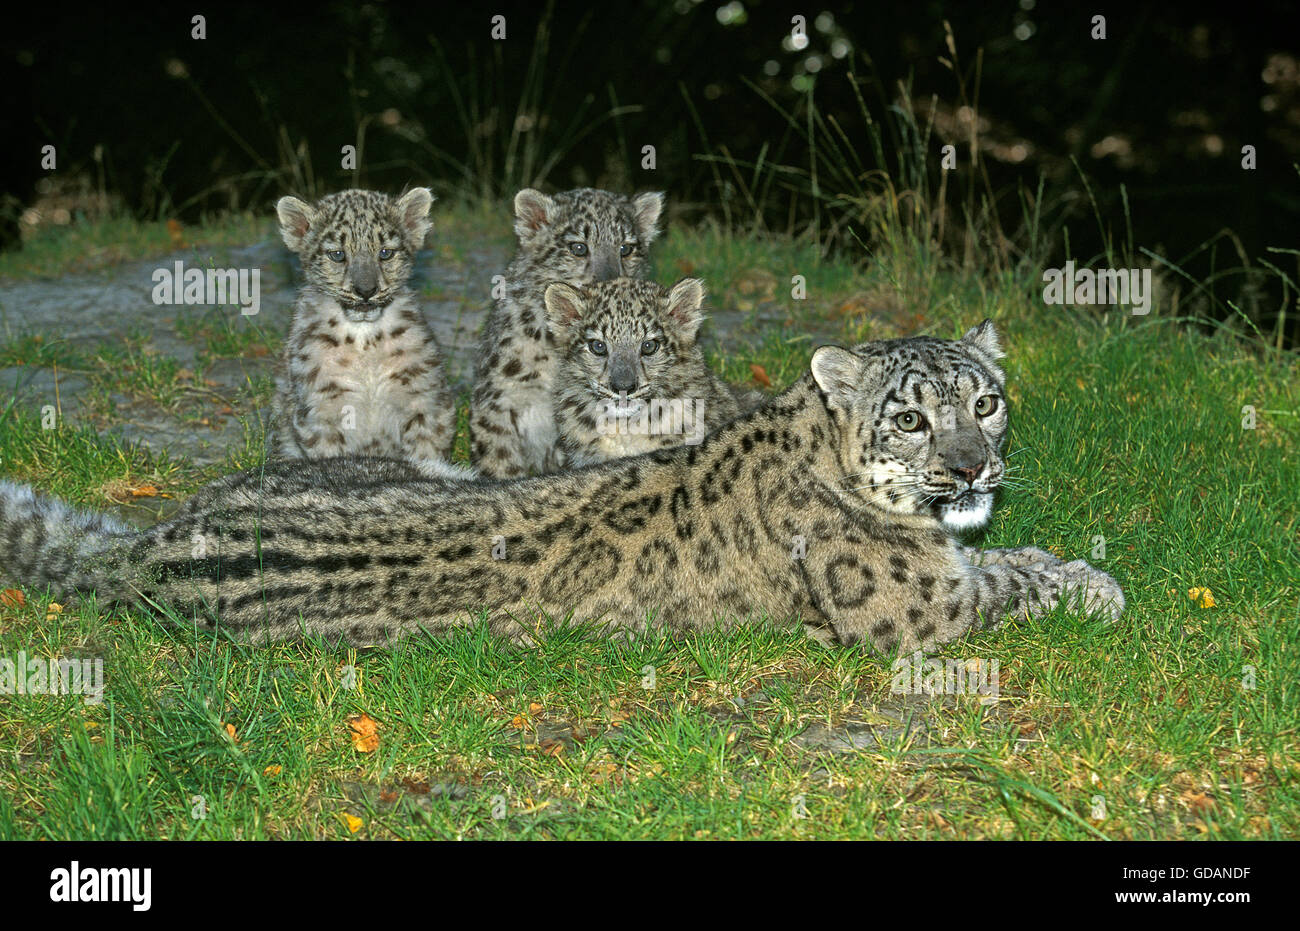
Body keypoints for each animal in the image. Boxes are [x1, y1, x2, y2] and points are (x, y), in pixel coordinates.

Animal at [0, 321, 1123, 654]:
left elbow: (1006, 554)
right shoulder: (919, 609)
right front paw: (1095, 584)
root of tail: (152, 545)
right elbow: (1009, 577)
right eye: (912, 417)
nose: (973, 466)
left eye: (985, 401)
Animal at [269, 187, 470, 478]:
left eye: (385, 253)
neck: (364, 339)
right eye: (337, 254)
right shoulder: (321, 409)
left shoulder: (424, 398)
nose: (366, 290)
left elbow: (427, 449)